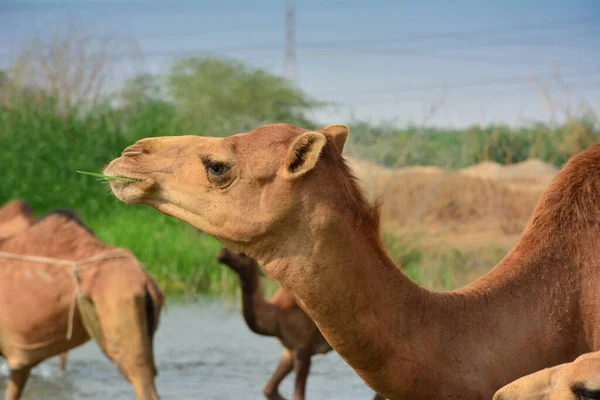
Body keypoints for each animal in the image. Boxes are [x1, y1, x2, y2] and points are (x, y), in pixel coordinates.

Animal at [218, 247, 386, 400]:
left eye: (241, 253)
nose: (221, 253)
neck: (275, 318)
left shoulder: (303, 348)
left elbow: (298, 395)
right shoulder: (289, 350)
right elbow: (269, 389)